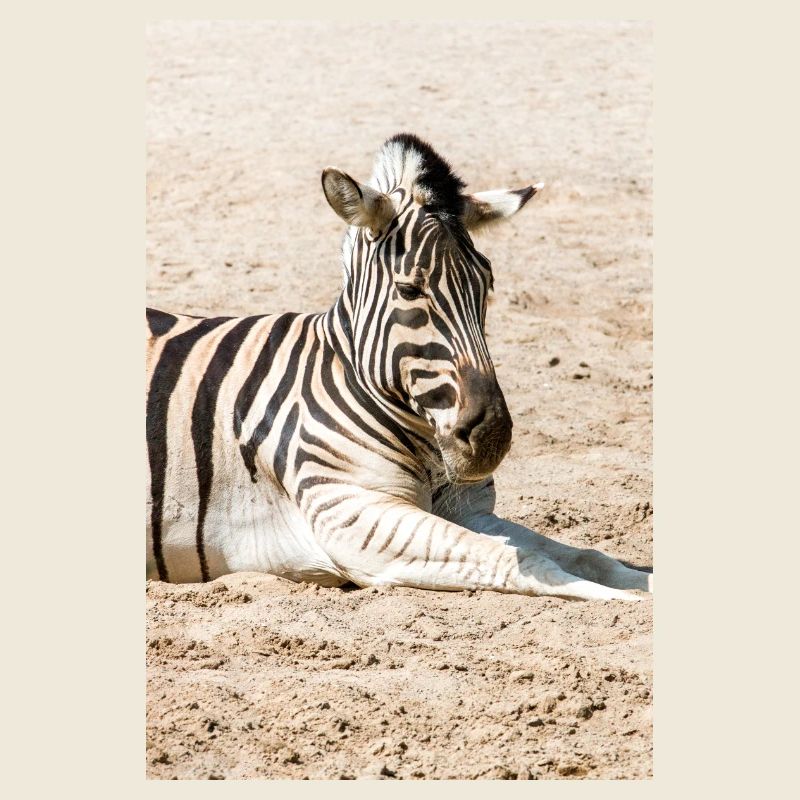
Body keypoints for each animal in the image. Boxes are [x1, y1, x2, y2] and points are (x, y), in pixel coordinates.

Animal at [146, 132, 652, 601]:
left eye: (487, 284)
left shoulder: (470, 510)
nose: (492, 437)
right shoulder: (352, 514)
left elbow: (587, 555)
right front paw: (621, 601)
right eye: (410, 290)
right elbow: (522, 560)